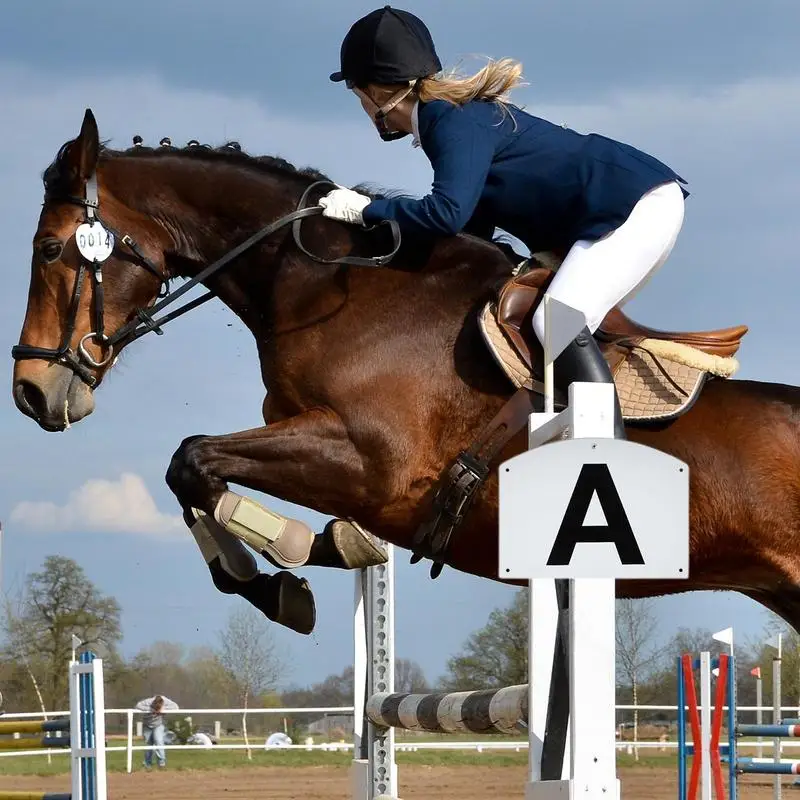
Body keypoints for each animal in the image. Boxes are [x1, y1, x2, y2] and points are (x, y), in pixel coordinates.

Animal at [10, 109, 800, 640]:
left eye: (48, 249)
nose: (29, 392)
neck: (332, 290)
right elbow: (192, 474)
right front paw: (314, 557)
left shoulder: (370, 462)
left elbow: (193, 458)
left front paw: (281, 573)